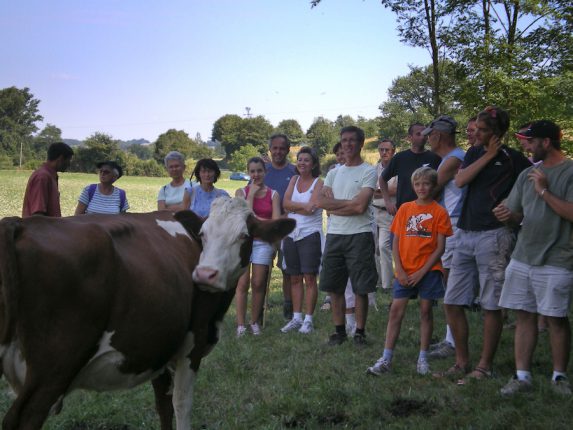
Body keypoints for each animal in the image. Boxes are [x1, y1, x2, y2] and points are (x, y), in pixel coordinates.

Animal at [0, 197, 294, 430]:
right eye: (203, 233)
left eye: (244, 236)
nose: (204, 274)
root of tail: (19, 224)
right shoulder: (192, 344)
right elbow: (181, 404)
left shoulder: (160, 347)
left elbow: (163, 405)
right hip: (54, 369)